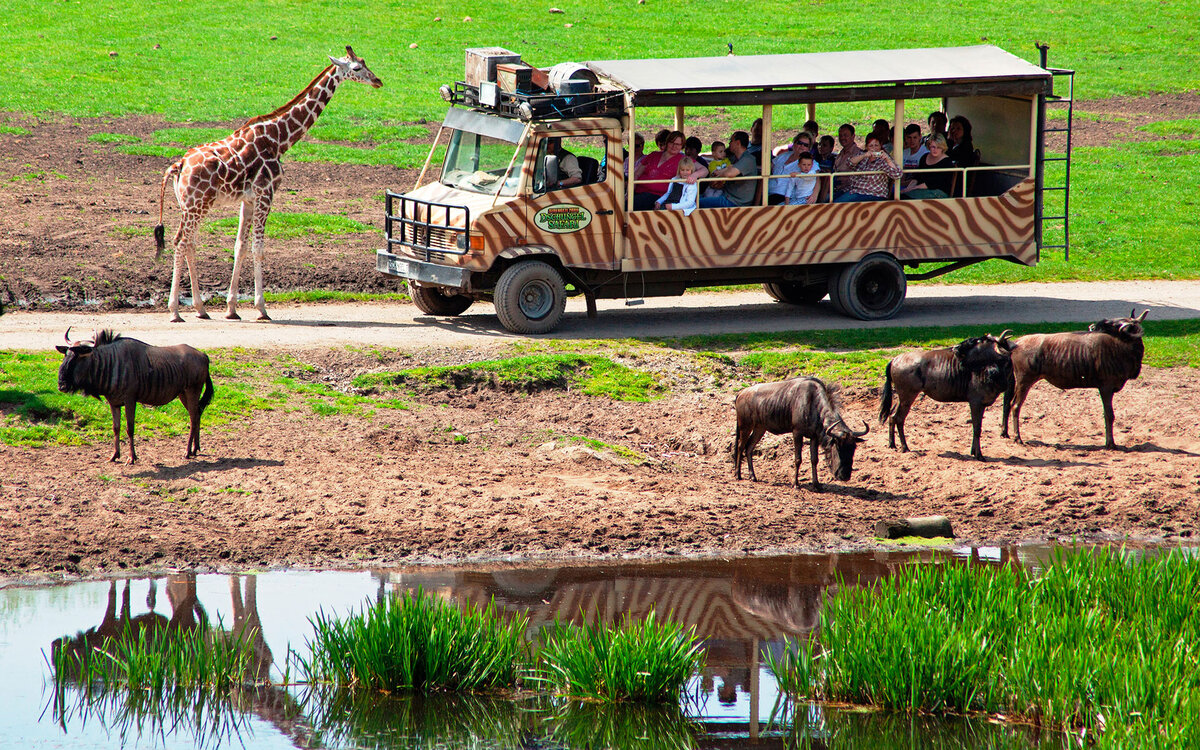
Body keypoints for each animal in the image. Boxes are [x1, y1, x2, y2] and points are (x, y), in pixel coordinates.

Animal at [153, 46, 379, 321]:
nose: (378, 81)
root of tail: (179, 165)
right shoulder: (266, 193)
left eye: (365, 63)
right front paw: (261, 308)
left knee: (190, 243)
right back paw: (175, 310)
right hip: (197, 204)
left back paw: (201, 308)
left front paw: (231, 308)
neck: (280, 138)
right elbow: (258, 248)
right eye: (357, 68)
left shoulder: (248, 199)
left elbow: (240, 246)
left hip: (191, 205)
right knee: (180, 242)